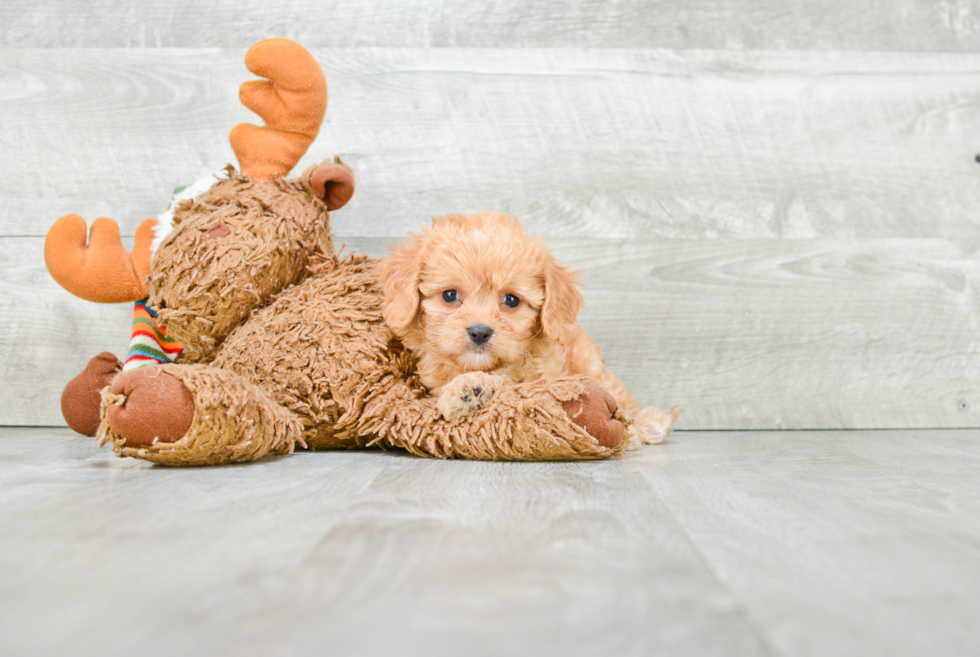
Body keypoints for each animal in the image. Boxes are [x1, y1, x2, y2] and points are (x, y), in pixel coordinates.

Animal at [378, 213, 676, 444]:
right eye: (449, 295)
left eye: (511, 300)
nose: (479, 332)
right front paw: (466, 390)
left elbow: (510, 383)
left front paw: (471, 387)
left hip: (590, 364)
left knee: (620, 397)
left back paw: (648, 423)